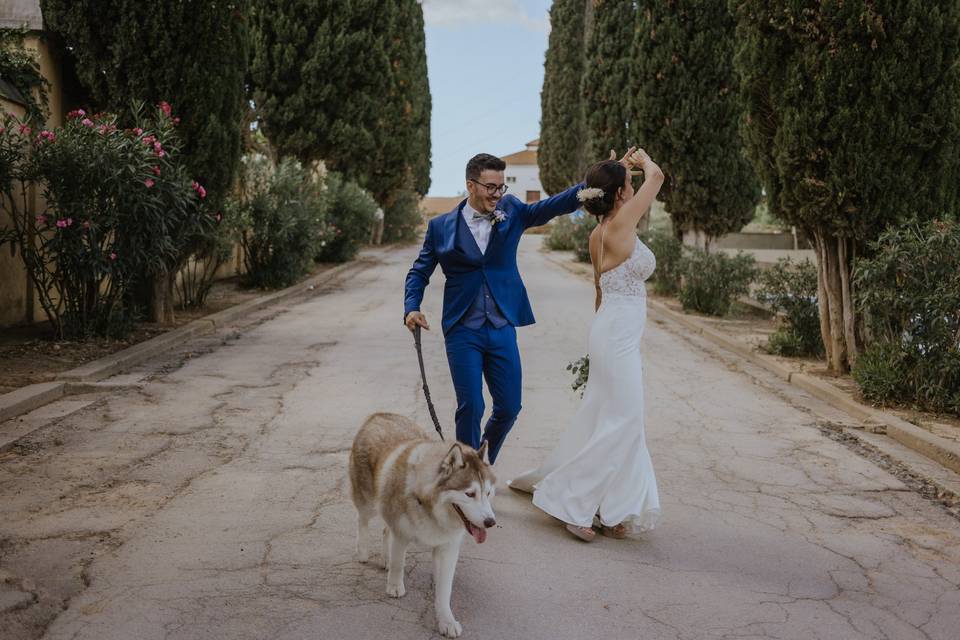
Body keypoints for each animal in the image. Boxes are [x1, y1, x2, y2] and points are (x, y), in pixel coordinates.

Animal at [346, 412, 496, 636]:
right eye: (469, 494)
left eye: (487, 493)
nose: (490, 522)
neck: (430, 507)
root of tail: (379, 414)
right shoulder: (401, 534)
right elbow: (399, 563)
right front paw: (394, 585)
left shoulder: (447, 548)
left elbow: (444, 590)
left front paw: (446, 620)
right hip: (368, 501)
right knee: (362, 519)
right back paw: (363, 551)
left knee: (385, 529)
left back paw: (385, 557)